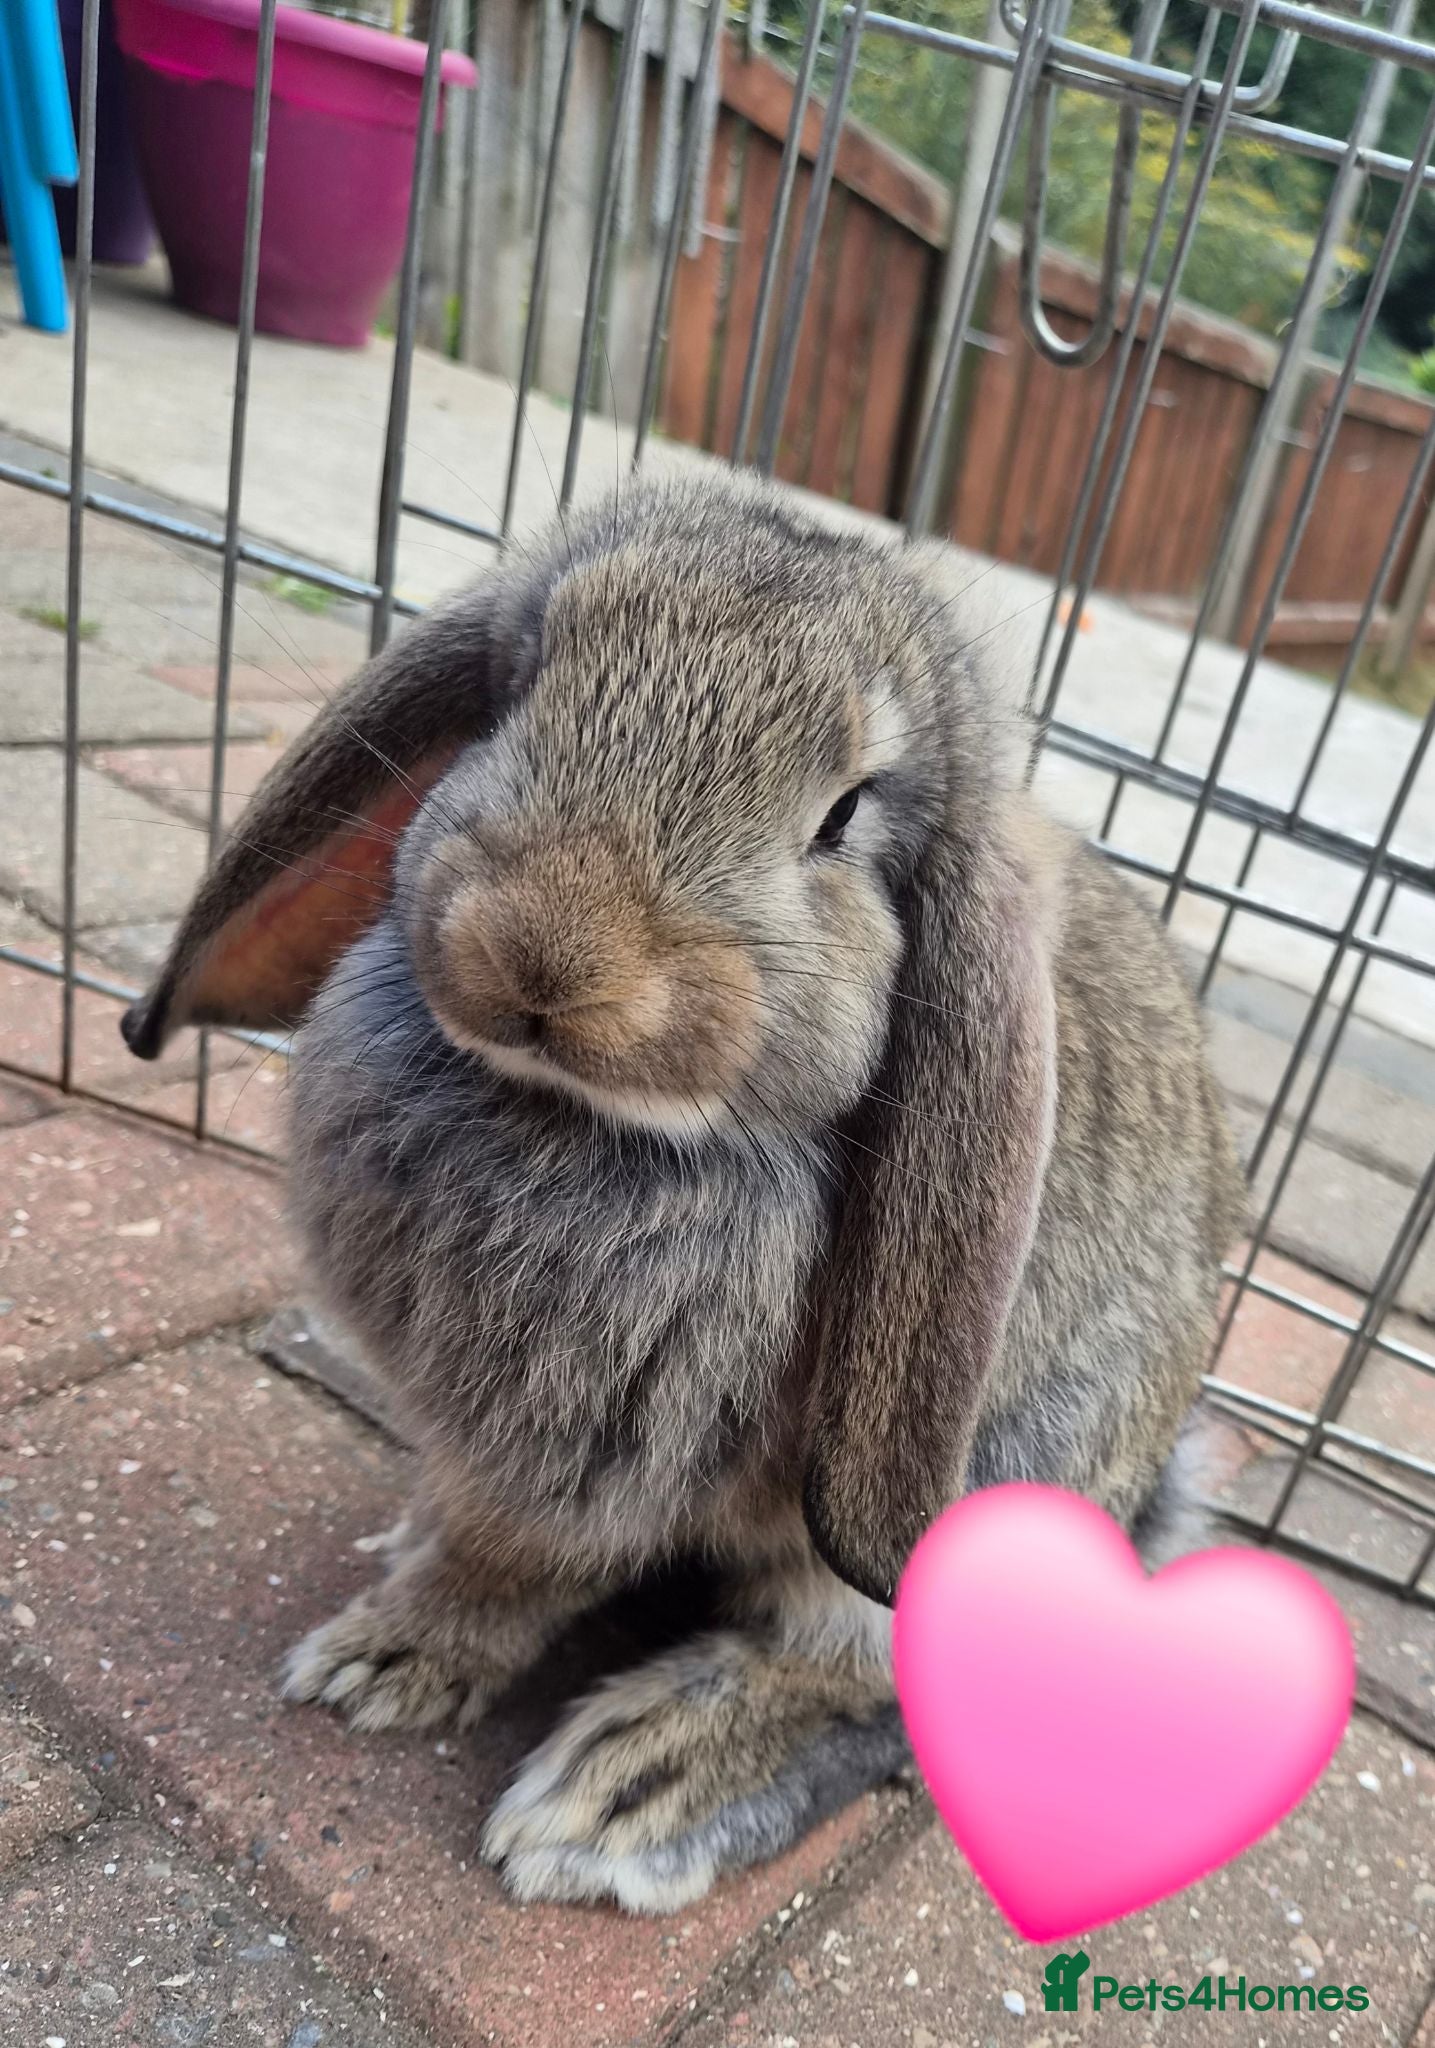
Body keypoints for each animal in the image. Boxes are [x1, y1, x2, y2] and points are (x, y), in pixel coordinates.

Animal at [121, 471, 1244, 1914]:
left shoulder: (591, 1463)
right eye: (524, 686)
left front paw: (402, 1670)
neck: (575, 1118)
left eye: (844, 814)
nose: (546, 949)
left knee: (850, 1680)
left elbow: (519, 1565)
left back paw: (626, 1793)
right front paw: (381, 1643)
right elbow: (475, 1550)